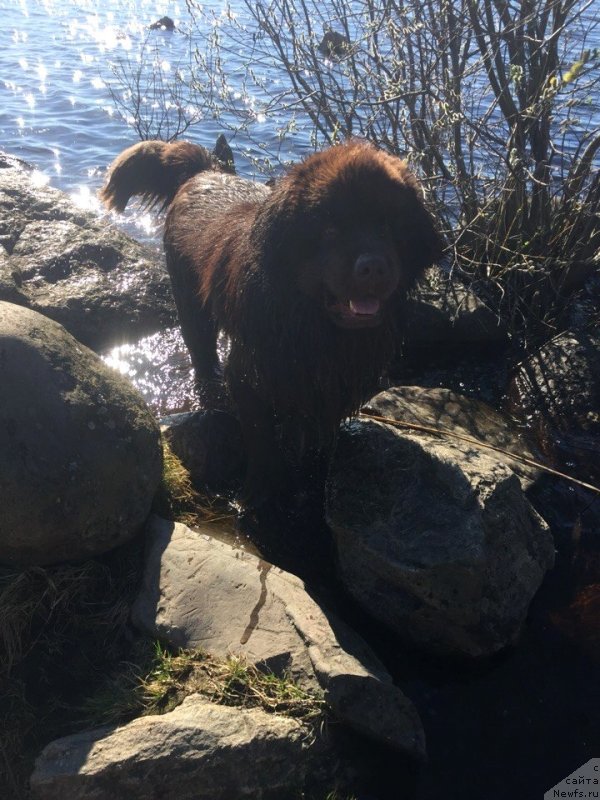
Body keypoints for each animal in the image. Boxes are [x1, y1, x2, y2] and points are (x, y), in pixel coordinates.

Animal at [101, 140, 440, 504]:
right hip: (190, 302)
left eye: (389, 226)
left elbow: (320, 437)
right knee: (201, 350)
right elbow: (260, 437)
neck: (314, 327)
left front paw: (314, 480)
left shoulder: (334, 385)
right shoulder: (251, 371)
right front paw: (264, 492)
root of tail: (205, 172)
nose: (373, 267)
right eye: (330, 228)